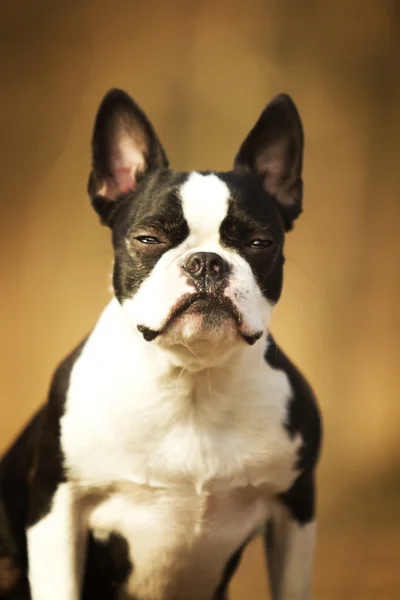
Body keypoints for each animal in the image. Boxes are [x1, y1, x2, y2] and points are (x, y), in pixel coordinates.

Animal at [0, 89, 322, 600]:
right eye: (148, 238)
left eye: (259, 242)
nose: (207, 262)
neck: (192, 380)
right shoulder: (56, 503)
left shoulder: (296, 507)